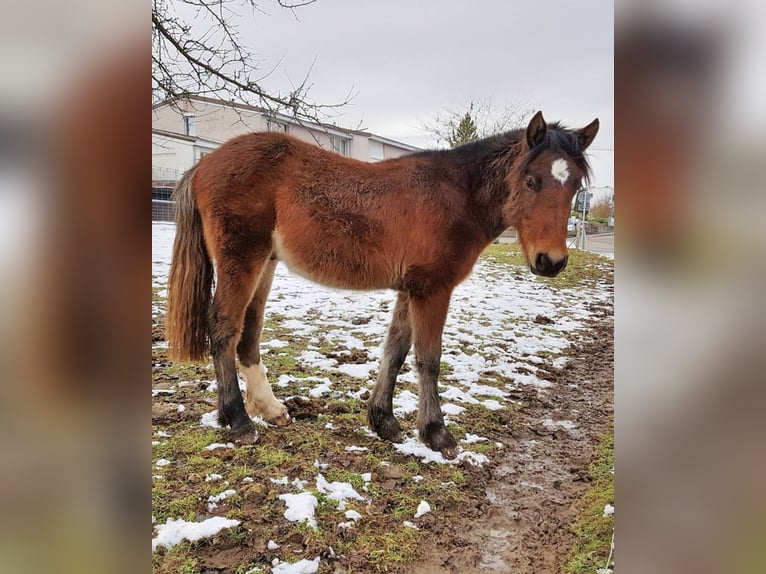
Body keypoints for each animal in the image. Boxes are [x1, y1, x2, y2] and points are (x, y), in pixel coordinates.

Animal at [166, 110, 600, 456]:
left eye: (576, 185)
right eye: (530, 181)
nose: (551, 261)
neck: (455, 196)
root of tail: (205, 163)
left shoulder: (410, 289)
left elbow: (395, 351)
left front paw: (383, 421)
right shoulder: (432, 290)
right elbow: (428, 359)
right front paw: (436, 432)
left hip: (264, 266)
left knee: (248, 335)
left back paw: (270, 410)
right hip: (242, 260)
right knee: (223, 329)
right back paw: (238, 420)